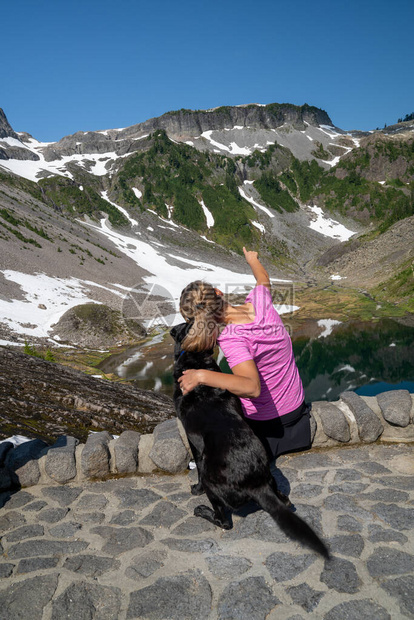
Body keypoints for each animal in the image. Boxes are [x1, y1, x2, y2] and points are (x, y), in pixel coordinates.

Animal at [170, 322, 328, 560]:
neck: (195, 359)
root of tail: (256, 484)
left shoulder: (192, 440)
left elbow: (195, 465)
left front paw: (195, 489)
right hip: (273, 482)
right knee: (285, 500)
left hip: (210, 481)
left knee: (224, 521)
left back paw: (203, 510)